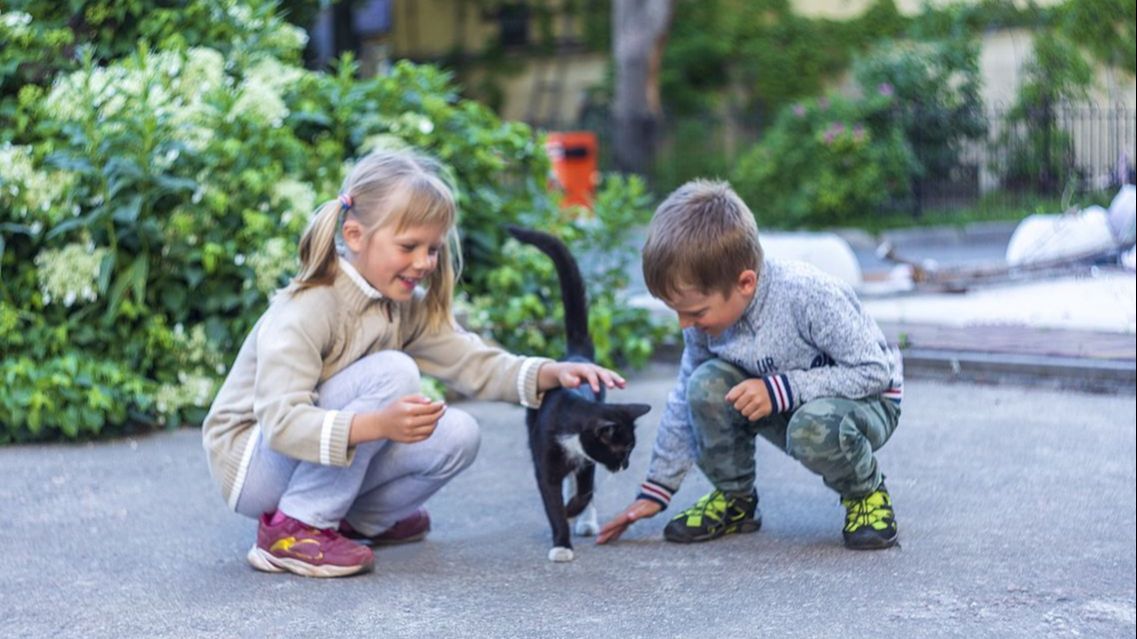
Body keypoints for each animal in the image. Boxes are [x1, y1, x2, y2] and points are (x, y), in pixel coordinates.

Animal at [504, 225, 654, 561]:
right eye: (623, 450)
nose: (625, 466)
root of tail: (575, 357)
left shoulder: (586, 459)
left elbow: (585, 490)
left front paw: (575, 511)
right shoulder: (546, 459)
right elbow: (551, 499)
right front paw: (561, 541)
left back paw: (585, 520)